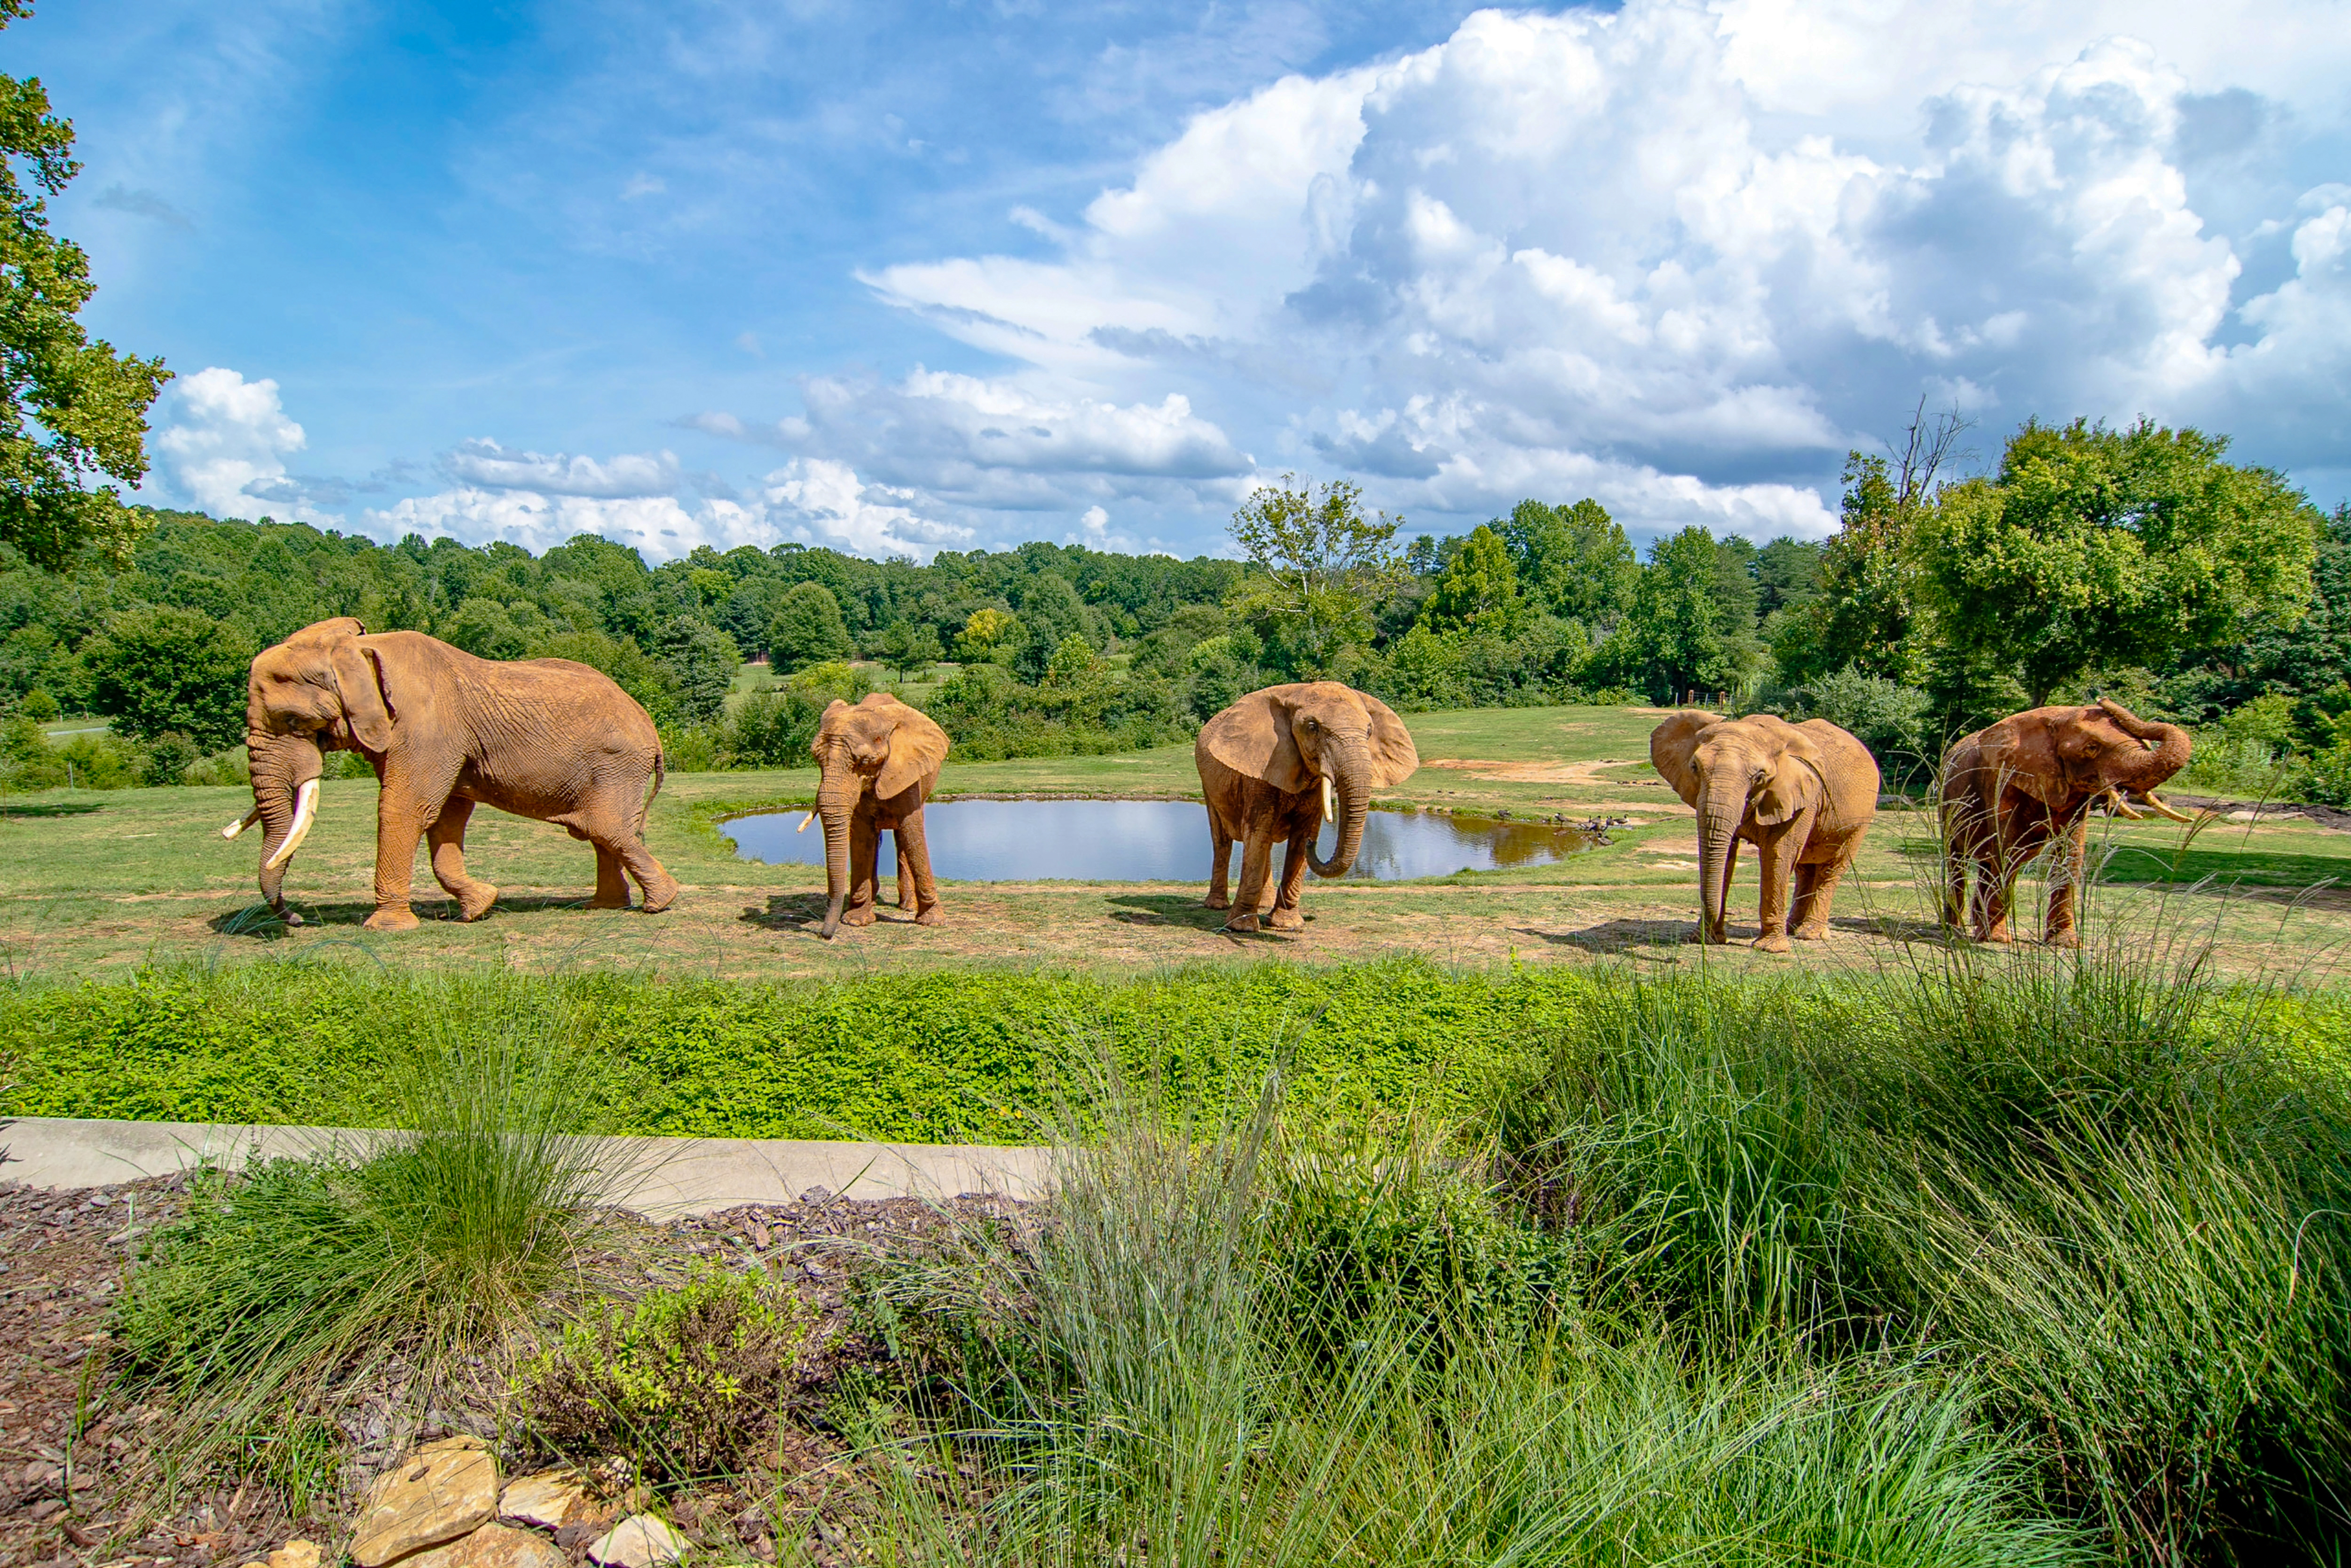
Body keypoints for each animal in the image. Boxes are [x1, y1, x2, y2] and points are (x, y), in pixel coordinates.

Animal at [229, 616, 677, 931]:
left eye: (293, 721)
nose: (296, 918)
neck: (357, 648)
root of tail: (649, 725)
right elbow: (446, 817)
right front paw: (479, 908)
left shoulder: (424, 728)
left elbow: (405, 809)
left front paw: (387, 928)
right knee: (601, 832)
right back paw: (603, 907)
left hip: (617, 765)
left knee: (606, 827)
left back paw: (659, 904)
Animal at [813, 691, 950, 940]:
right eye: (816, 760)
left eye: (864, 762)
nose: (825, 935)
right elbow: (861, 834)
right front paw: (856, 921)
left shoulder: (907, 768)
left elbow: (911, 830)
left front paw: (933, 922)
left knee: (902, 838)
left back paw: (908, 907)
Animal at [1194, 677, 1411, 931]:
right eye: (1312, 727)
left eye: (1369, 731)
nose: (1314, 845)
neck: (1298, 693)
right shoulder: (1259, 771)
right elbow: (1258, 832)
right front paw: (1242, 927)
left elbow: (1300, 835)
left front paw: (1287, 925)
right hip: (1207, 783)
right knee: (1223, 841)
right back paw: (1217, 906)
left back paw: (1263, 904)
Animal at [1646, 715, 1881, 959]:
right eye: (1695, 767)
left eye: (1760, 777)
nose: (1699, 938)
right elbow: (1727, 854)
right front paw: (1709, 939)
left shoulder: (1802, 797)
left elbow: (1777, 856)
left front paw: (1771, 949)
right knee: (1805, 868)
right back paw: (1793, 928)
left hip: (1861, 819)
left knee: (1832, 868)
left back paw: (1810, 934)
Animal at [1937, 696, 2191, 945]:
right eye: (2092, 748)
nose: (2102, 699)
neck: (2058, 718)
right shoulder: (2002, 780)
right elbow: (2008, 851)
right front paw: (1998, 939)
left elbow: (2071, 852)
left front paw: (2065, 943)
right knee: (1958, 860)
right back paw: (1955, 929)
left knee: (1986, 863)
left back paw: (1976, 926)